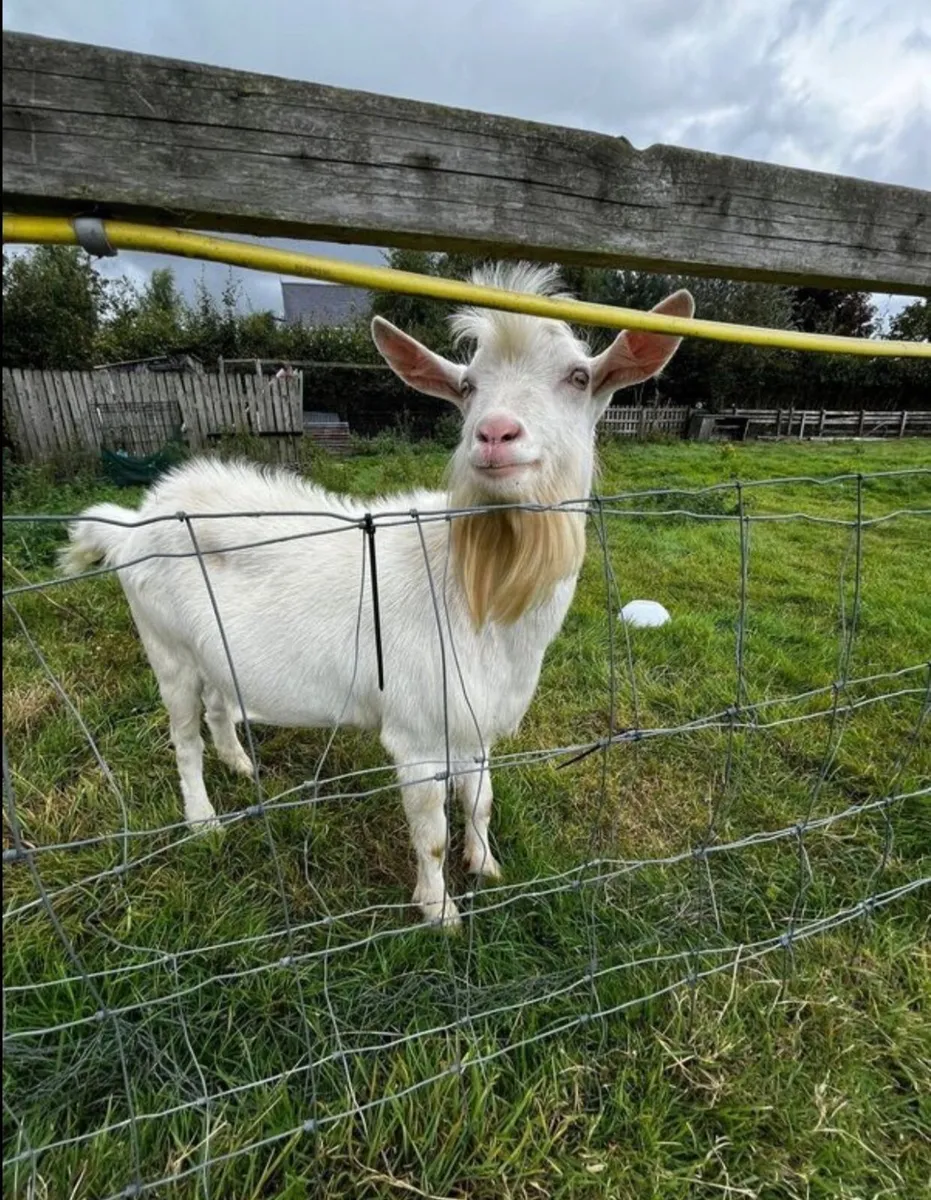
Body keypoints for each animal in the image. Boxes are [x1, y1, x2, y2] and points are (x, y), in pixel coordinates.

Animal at [60, 263, 693, 927]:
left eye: (578, 377)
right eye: (468, 386)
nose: (495, 434)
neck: (479, 590)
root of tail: (136, 518)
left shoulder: (475, 722)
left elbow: (481, 799)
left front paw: (486, 864)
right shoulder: (415, 733)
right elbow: (431, 832)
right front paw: (439, 910)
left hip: (211, 652)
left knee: (215, 707)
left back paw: (238, 762)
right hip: (166, 648)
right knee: (182, 736)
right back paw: (202, 820)